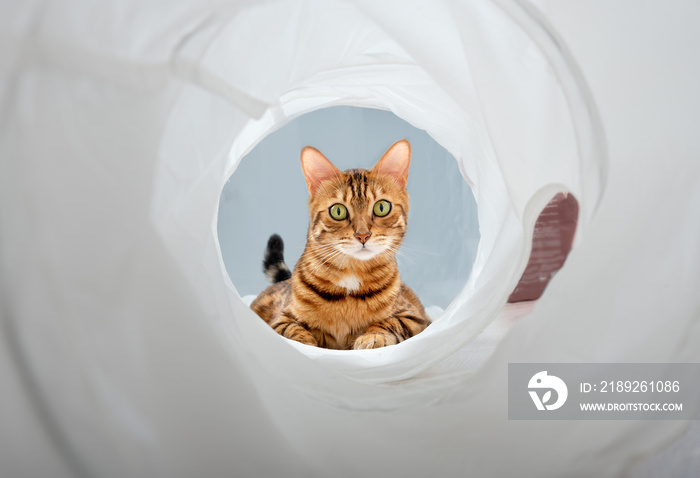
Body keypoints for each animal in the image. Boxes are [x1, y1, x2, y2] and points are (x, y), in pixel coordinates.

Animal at [249, 140, 430, 350]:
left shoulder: (416, 317)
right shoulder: (280, 320)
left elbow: (391, 322)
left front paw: (373, 336)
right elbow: (292, 330)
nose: (363, 235)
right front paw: (305, 342)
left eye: (381, 207)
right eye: (338, 211)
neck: (351, 276)